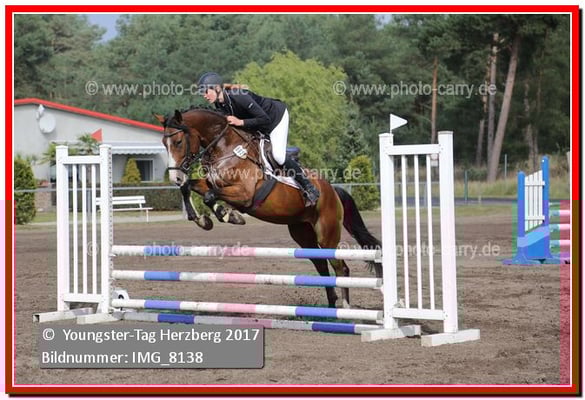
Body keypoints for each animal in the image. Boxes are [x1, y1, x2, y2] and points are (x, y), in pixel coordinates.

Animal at [154, 108, 382, 309]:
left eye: (178, 141)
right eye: (164, 143)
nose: (175, 177)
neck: (226, 149)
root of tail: (333, 190)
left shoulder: (244, 194)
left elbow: (211, 197)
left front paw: (228, 215)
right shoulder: (211, 183)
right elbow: (189, 187)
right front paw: (203, 220)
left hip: (327, 235)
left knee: (341, 268)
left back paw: (345, 308)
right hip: (303, 235)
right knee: (322, 267)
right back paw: (330, 308)